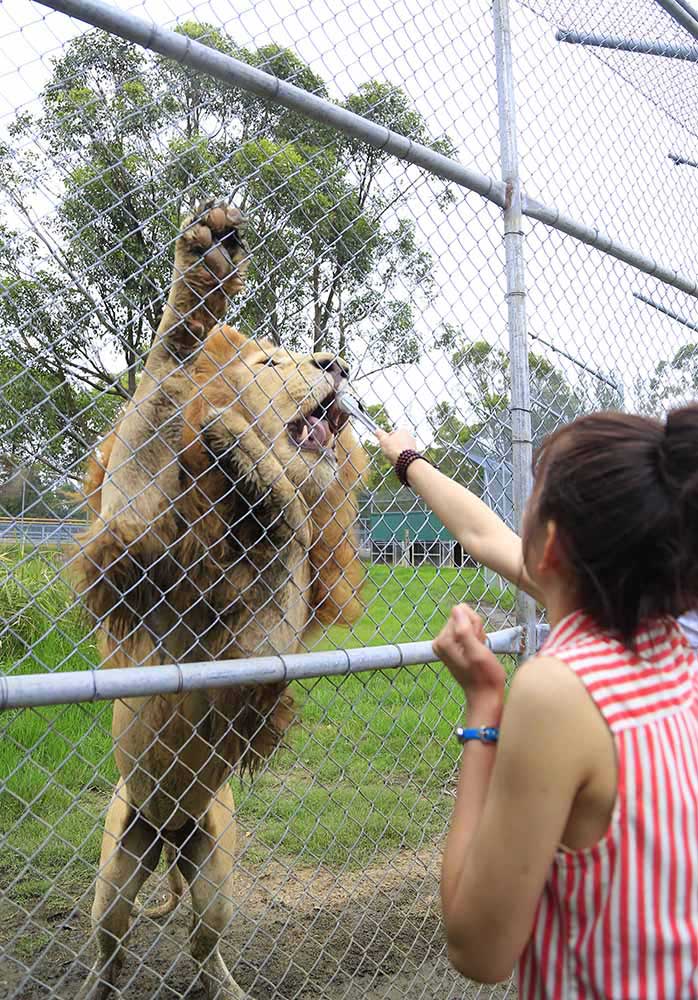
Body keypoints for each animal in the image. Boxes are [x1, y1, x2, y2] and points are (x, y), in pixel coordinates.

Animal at [75, 199, 368, 996]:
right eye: (269, 364)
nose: (335, 364)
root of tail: (170, 832)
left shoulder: (263, 647)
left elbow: (294, 523)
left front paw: (246, 452)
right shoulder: (131, 538)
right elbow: (161, 389)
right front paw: (200, 280)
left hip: (214, 869)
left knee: (205, 945)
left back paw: (227, 985)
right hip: (119, 859)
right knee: (111, 945)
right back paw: (97, 983)